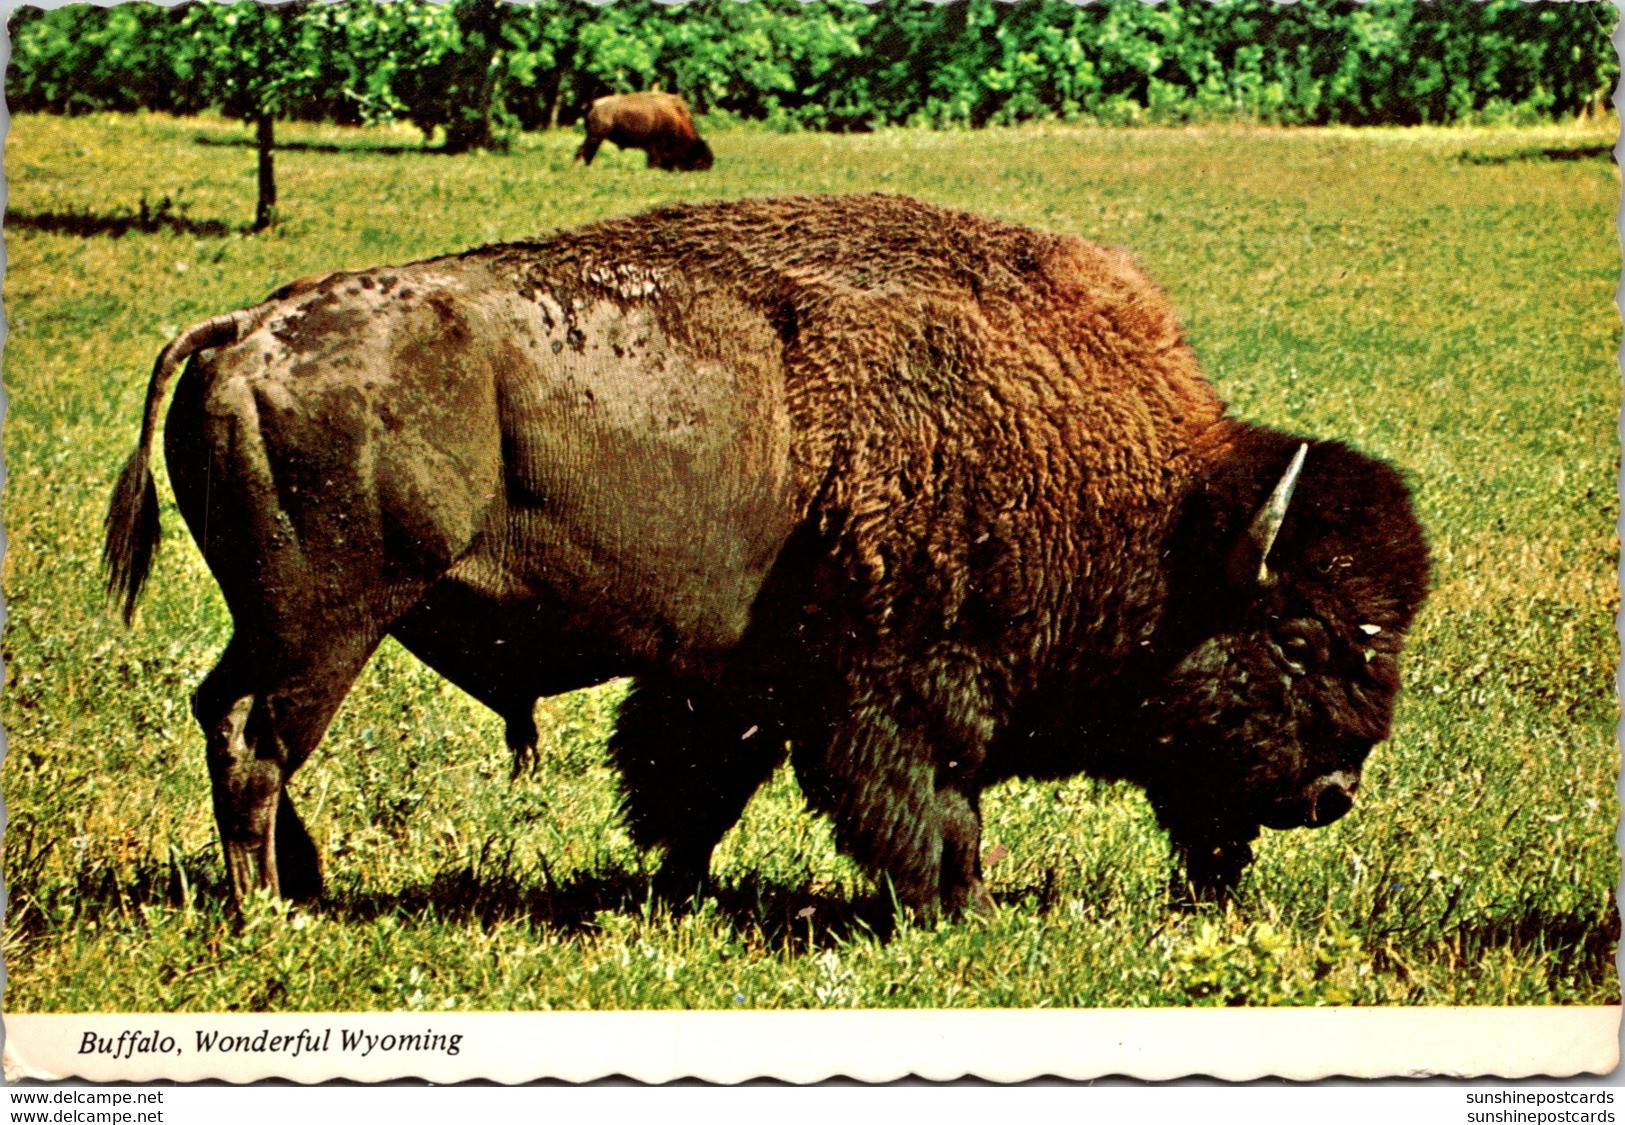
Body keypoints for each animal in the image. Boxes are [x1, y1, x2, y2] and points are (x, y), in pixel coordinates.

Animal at [101, 193, 1430, 916]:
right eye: (1303, 636)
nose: (1332, 792)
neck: (1165, 523)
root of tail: (245, 325)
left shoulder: (733, 683)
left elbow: (692, 789)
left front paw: (670, 891)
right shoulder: (890, 688)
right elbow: (924, 810)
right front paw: (952, 908)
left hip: (280, 623)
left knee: (223, 717)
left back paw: (302, 886)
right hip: (329, 621)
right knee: (257, 742)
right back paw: (273, 912)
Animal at [578, 92, 718, 172]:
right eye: (699, 160)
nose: (706, 169)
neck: (677, 117)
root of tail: (594, 104)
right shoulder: (655, 146)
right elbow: (653, 160)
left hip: (594, 138)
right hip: (595, 137)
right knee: (584, 151)